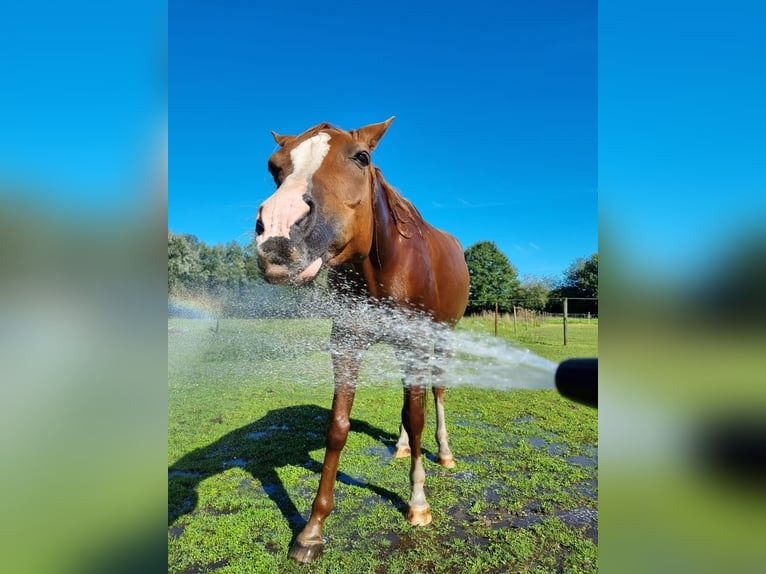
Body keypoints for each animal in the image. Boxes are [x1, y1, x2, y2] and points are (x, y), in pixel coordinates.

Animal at [254, 117, 470, 563]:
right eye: (273, 165)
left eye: (362, 157)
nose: (279, 233)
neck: (382, 265)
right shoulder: (347, 344)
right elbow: (339, 427)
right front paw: (312, 531)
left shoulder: (415, 342)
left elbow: (418, 417)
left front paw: (418, 504)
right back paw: (402, 446)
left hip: (443, 336)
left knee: (436, 393)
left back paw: (444, 453)